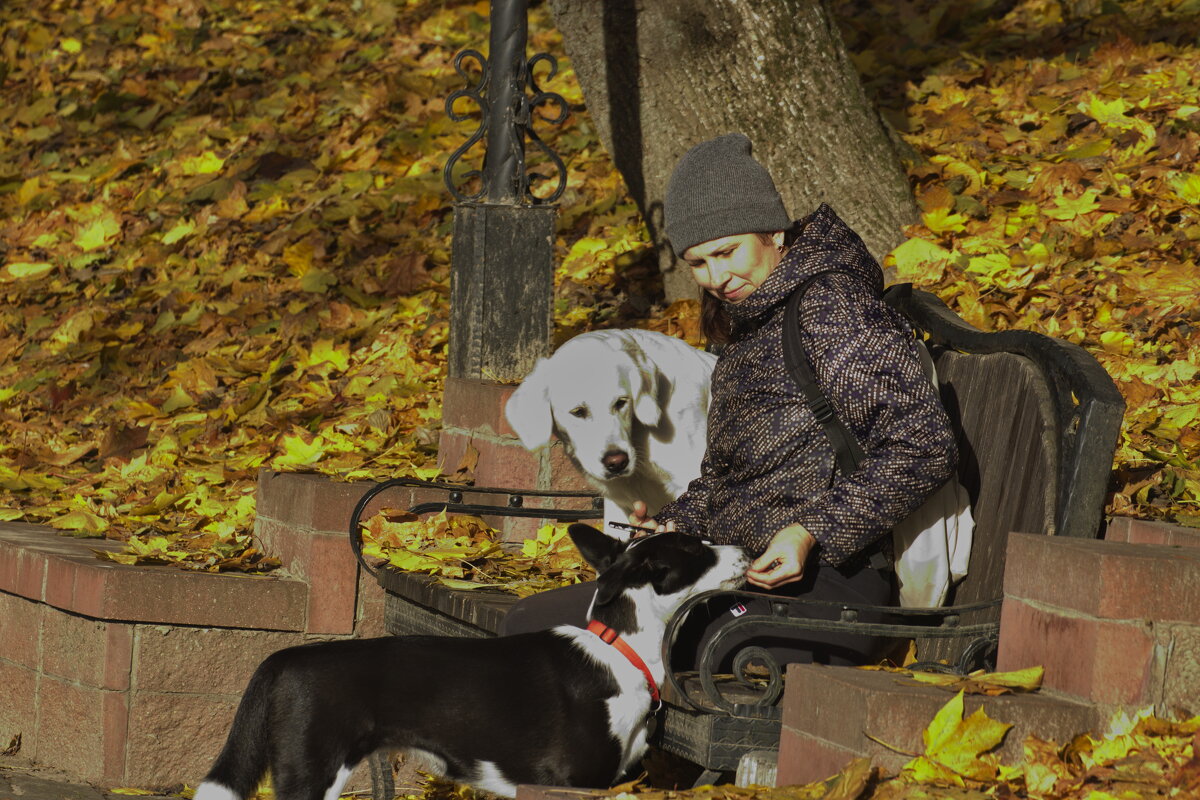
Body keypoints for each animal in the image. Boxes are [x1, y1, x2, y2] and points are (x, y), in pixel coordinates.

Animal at [192, 525, 744, 800]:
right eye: (696, 548)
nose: (746, 551)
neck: (619, 651)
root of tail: (281, 658)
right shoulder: (573, 782)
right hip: (311, 774)